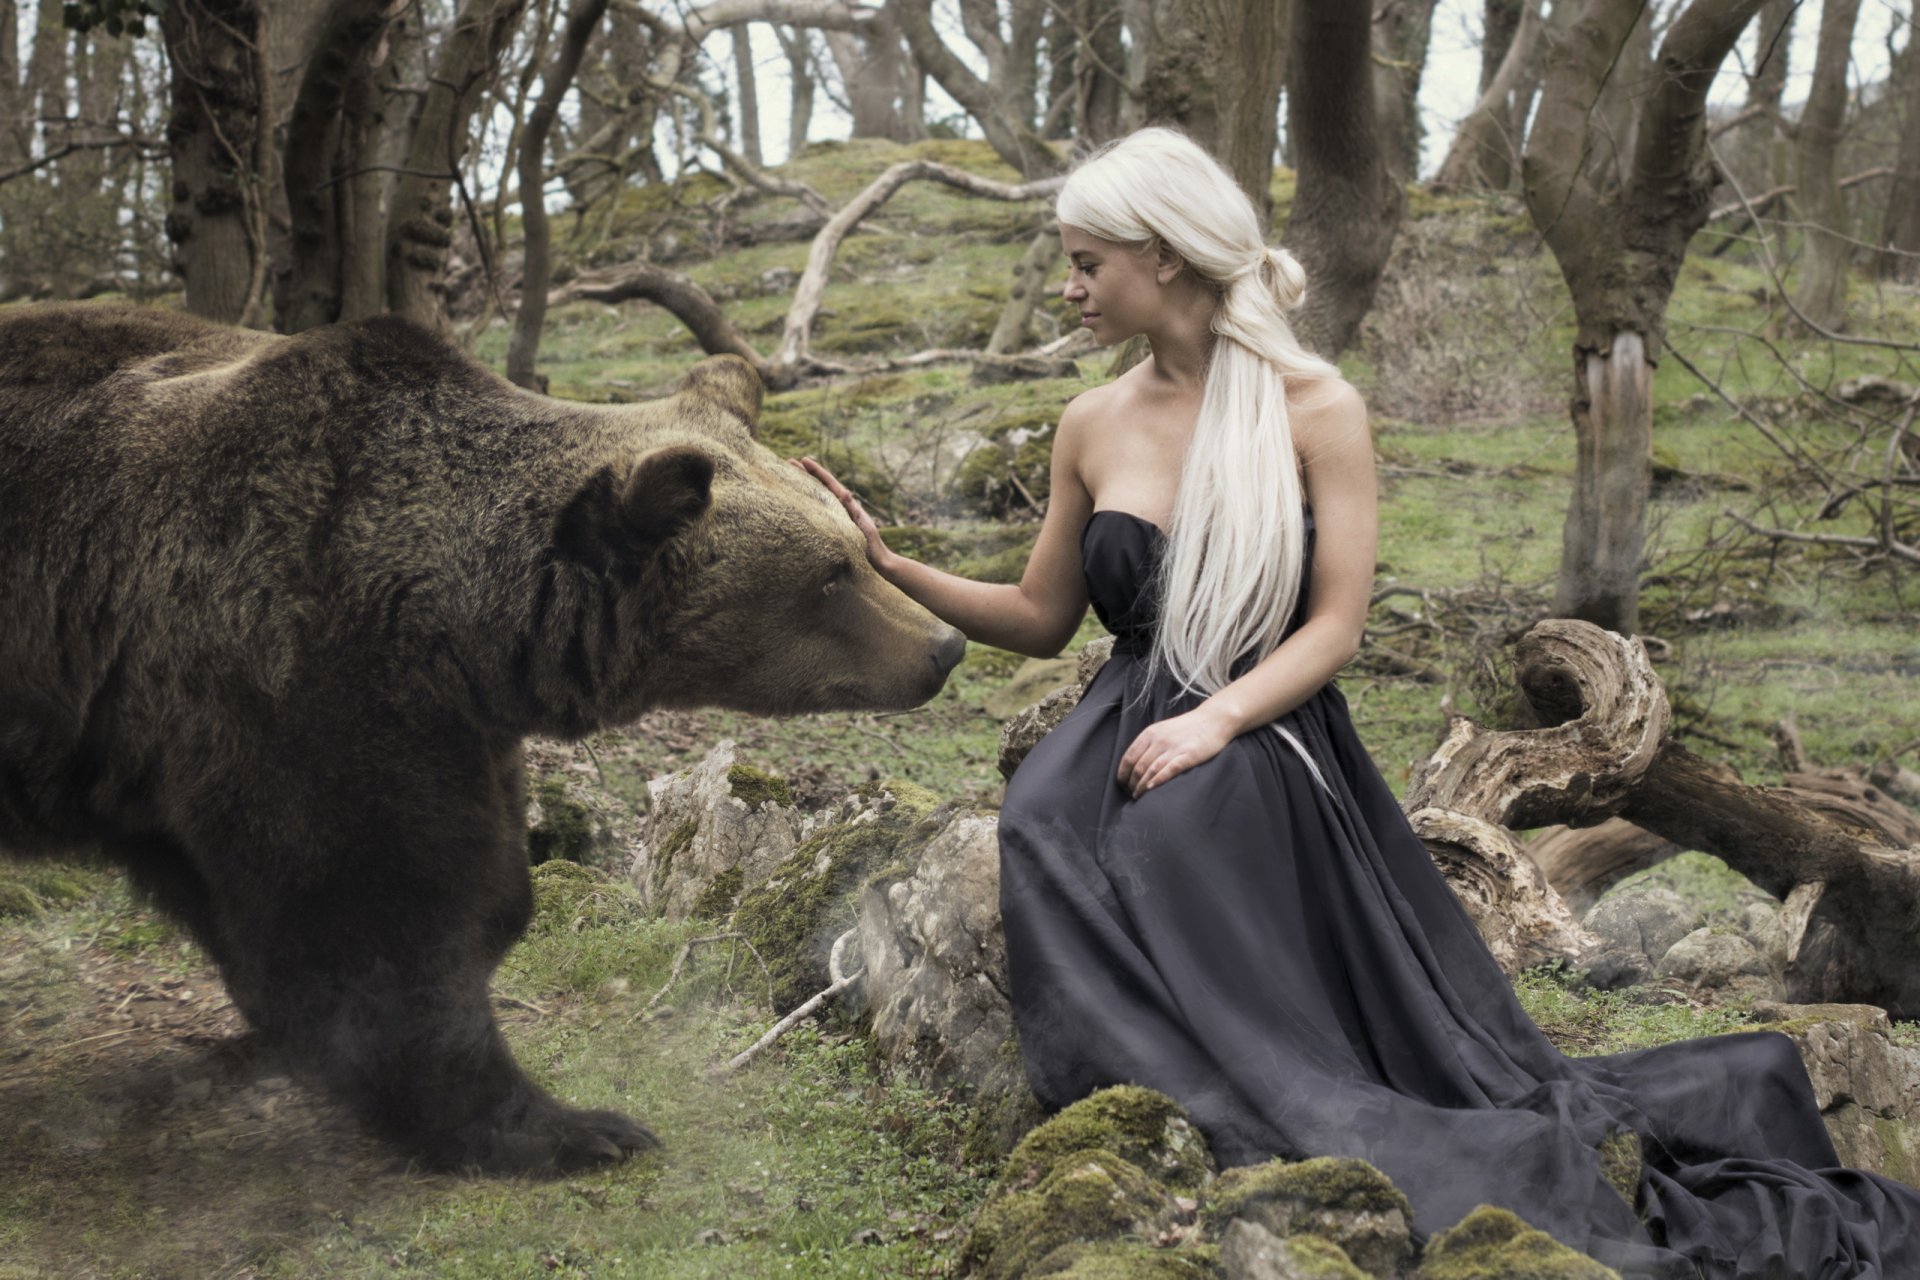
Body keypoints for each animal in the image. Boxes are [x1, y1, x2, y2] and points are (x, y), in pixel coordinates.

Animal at [0, 302, 966, 1172]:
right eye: (829, 576)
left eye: (854, 545)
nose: (943, 645)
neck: (458, 627)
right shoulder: (293, 693)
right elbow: (378, 925)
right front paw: (565, 1126)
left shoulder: (423, 726)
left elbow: (480, 889)